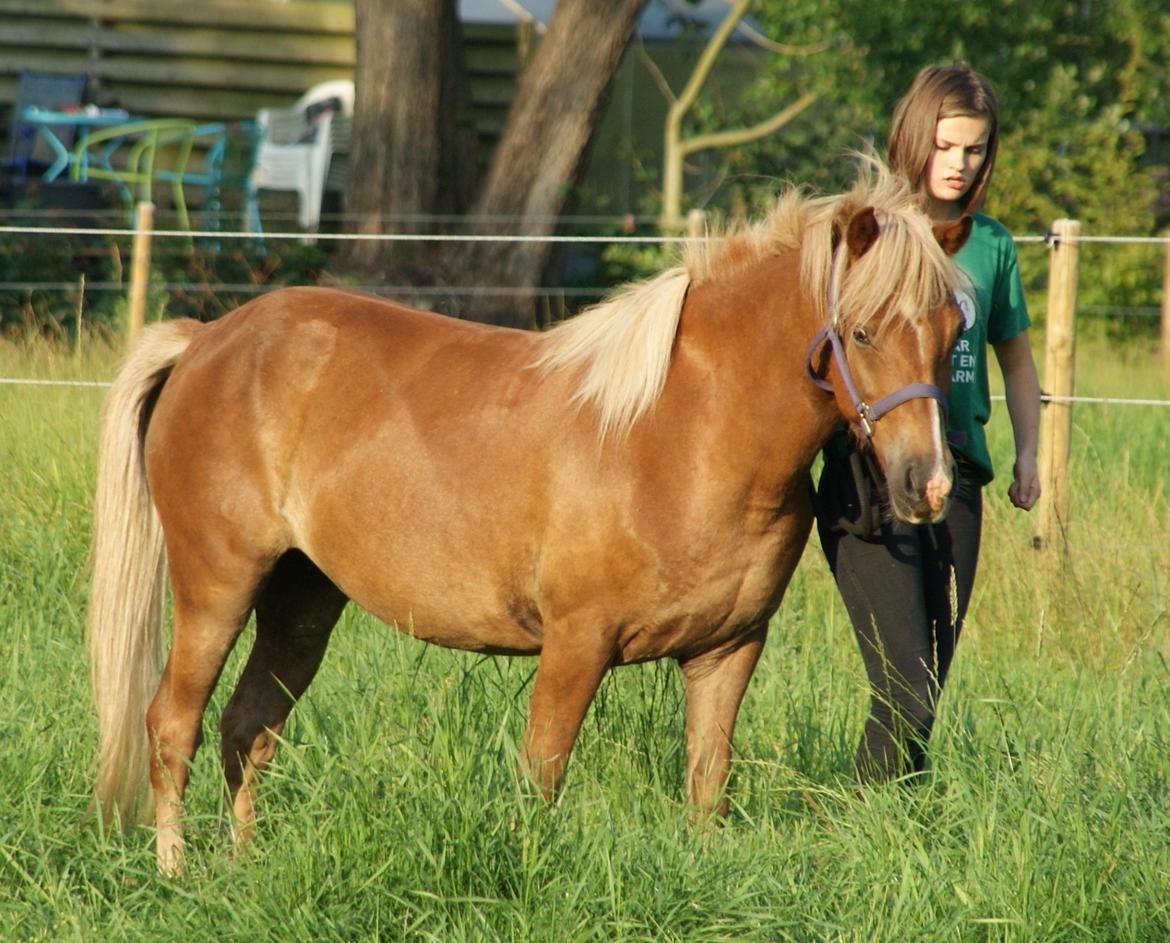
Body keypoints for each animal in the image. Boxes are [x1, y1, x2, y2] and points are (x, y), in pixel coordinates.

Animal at [88, 163, 968, 879]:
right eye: (862, 331)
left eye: (953, 332)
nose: (927, 483)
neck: (682, 430)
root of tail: (207, 339)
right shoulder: (576, 644)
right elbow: (543, 773)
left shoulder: (727, 651)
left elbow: (706, 781)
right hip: (218, 589)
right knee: (172, 723)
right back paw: (175, 872)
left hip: (300, 602)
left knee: (248, 729)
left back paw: (241, 868)